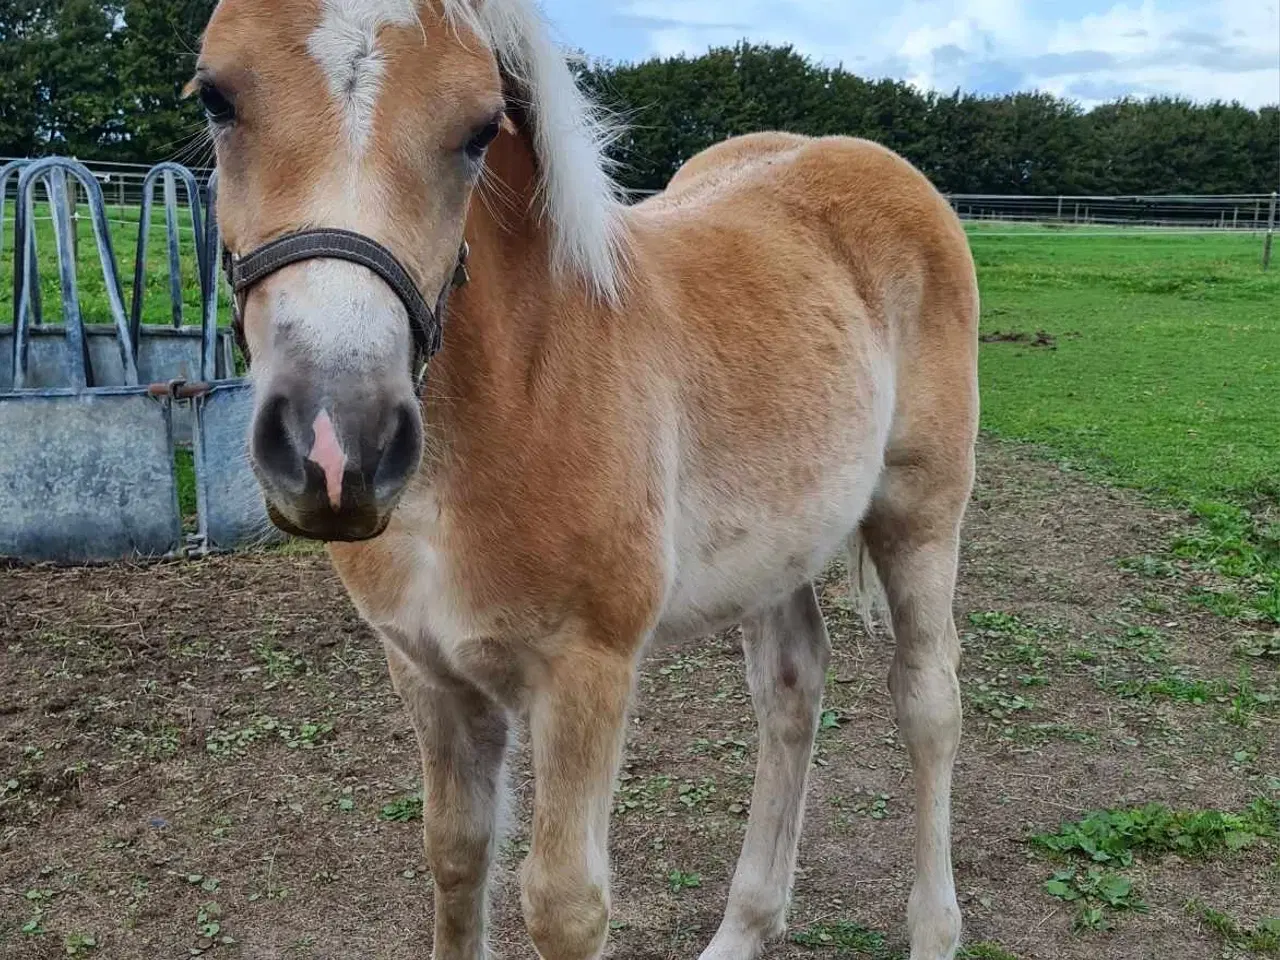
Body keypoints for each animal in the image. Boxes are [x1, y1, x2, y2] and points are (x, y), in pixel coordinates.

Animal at [189, 1, 972, 960]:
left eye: (480, 129)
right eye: (217, 98)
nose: (338, 448)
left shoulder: (583, 674)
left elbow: (564, 906)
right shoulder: (427, 672)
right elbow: (456, 853)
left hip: (921, 514)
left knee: (928, 702)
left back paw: (933, 927)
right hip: (780, 544)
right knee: (790, 692)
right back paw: (745, 927)